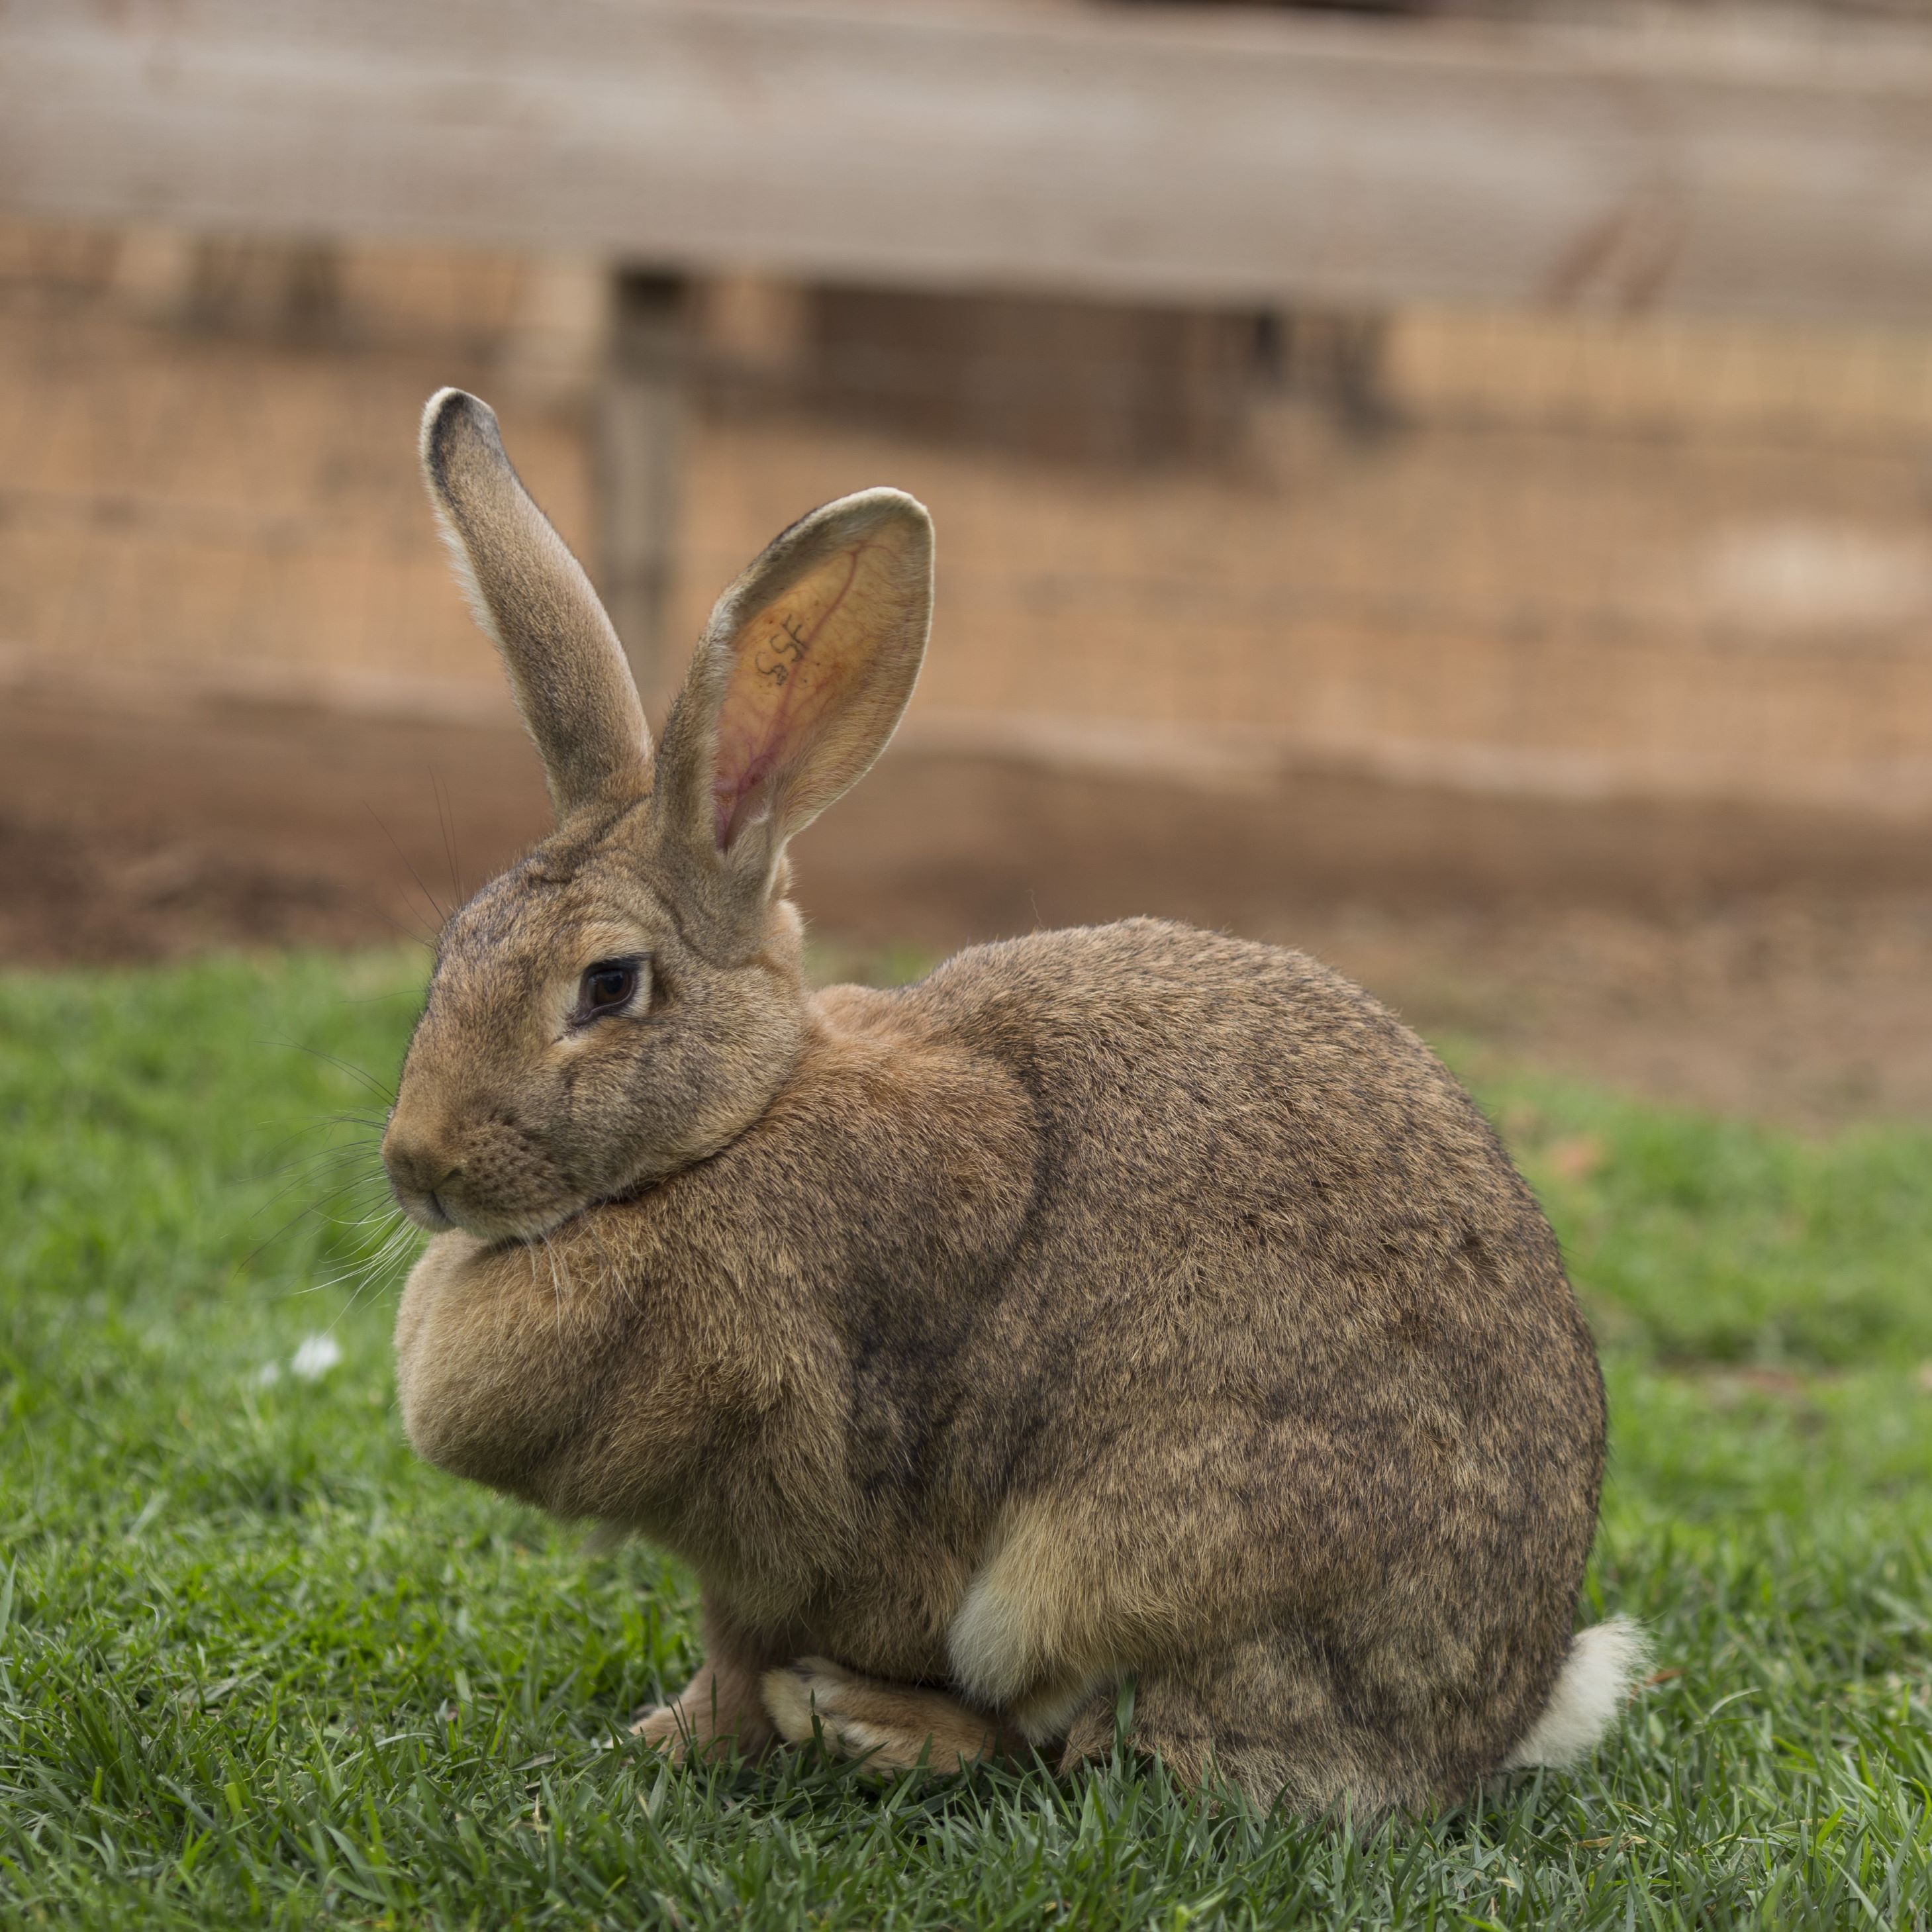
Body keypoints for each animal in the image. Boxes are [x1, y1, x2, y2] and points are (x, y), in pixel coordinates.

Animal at [386, 386, 1638, 1818]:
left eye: (606, 986)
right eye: (452, 951)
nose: (416, 1166)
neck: (732, 1130)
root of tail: (1496, 1716)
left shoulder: (809, 1505)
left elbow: (754, 1647)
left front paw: (684, 1742)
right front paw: (655, 1739)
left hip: (1132, 1561)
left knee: (1100, 1747)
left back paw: (877, 1725)